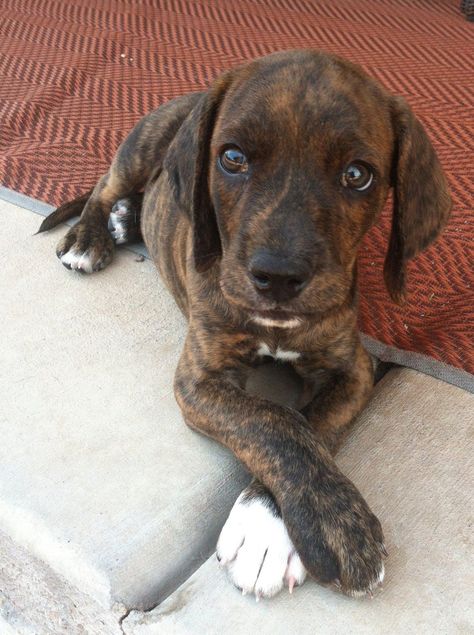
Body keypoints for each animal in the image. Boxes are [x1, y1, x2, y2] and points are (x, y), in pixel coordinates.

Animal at [39, 49, 450, 600]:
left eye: (357, 174)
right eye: (232, 158)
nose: (278, 275)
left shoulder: (351, 368)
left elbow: (309, 424)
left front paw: (275, 524)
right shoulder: (200, 378)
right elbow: (272, 421)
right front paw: (306, 527)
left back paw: (127, 221)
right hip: (141, 146)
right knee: (105, 189)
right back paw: (91, 234)